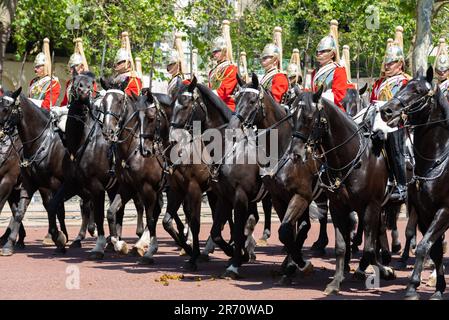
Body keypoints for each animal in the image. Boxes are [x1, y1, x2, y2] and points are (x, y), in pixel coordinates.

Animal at [380, 67, 448, 300]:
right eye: (403, 86)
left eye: (418, 91)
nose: (386, 111)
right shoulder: (424, 212)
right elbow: (434, 249)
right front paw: (438, 288)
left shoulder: (444, 211)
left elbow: (424, 246)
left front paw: (413, 286)